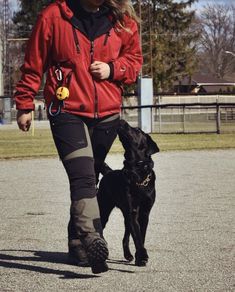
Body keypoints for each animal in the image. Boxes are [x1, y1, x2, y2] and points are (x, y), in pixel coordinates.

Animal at [96, 120, 159, 266]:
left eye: (138, 130)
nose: (121, 120)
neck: (137, 172)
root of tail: (109, 172)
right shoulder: (133, 211)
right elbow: (137, 236)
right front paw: (142, 256)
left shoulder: (144, 212)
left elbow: (141, 235)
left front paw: (139, 256)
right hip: (105, 209)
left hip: (125, 215)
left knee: (126, 236)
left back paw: (128, 255)